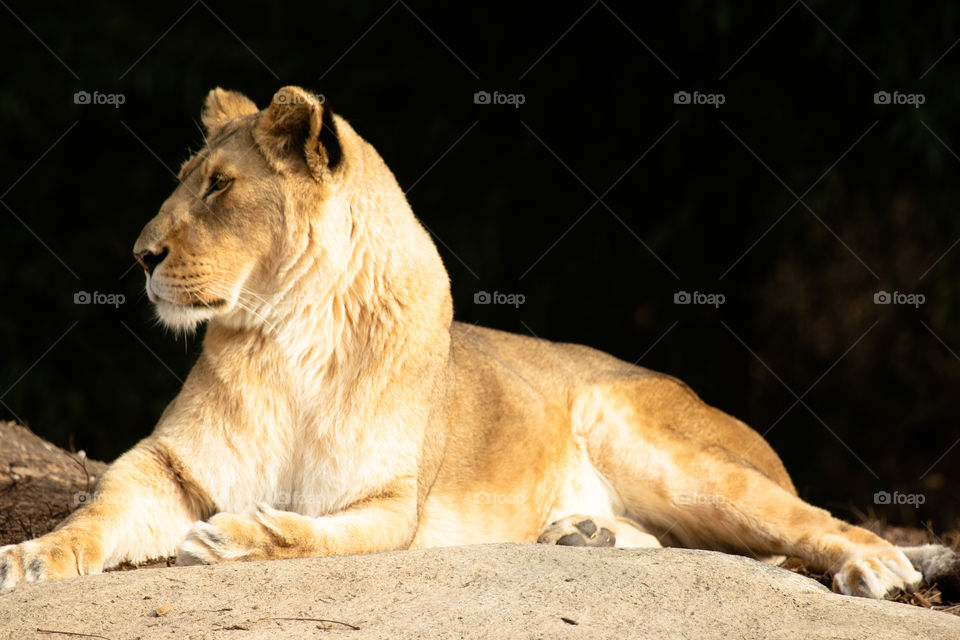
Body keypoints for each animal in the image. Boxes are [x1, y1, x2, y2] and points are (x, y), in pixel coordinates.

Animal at [1, 86, 957, 599]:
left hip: (652, 437)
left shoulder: (393, 503)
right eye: (185, 183)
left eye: (219, 186)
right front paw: (29, 556)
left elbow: (309, 533)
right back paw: (586, 536)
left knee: (801, 523)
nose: (140, 255)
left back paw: (880, 566)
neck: (290, 329)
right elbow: (96, 513)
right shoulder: (170, 467)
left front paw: (233, 537)